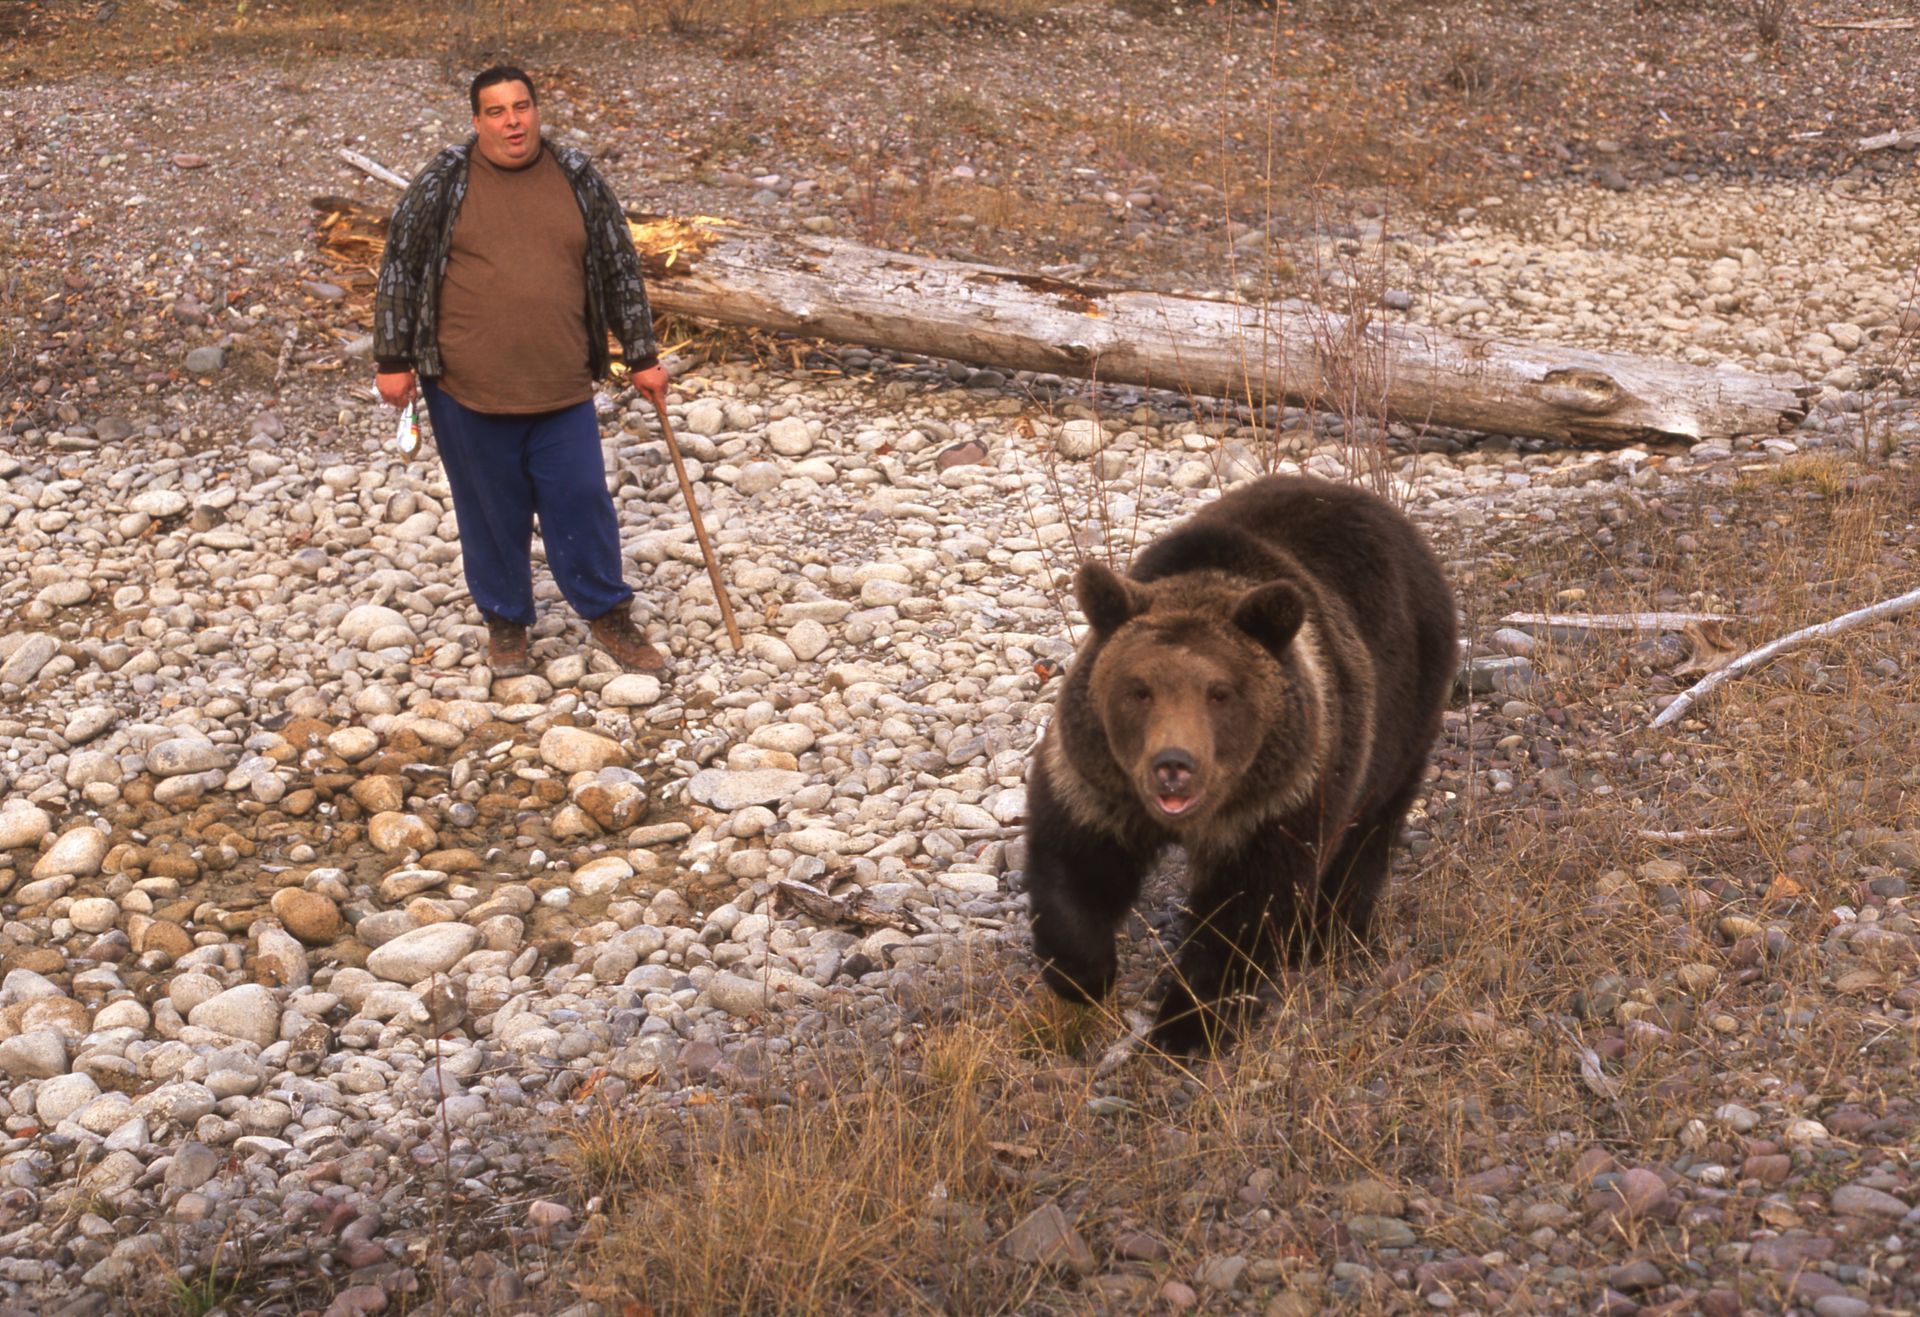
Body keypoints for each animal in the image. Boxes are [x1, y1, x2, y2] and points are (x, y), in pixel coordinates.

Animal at [1024, 474, 1457, 1055]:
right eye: (1139, 690)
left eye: (1220, 693)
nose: (1174, 764)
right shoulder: (1099, 784)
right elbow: (1075, 864)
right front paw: (1084, 975)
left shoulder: (1279, 802)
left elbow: (1245, 912)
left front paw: (1187, 1024)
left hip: (1404, 713)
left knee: (1369, 833)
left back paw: (1328, 935)